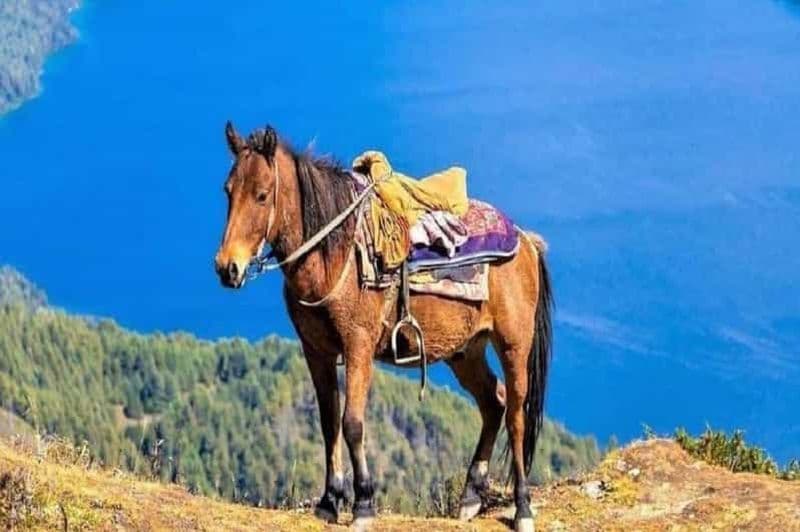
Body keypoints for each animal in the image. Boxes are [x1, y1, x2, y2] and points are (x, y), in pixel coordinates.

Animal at [214, 122, 552, 532]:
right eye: (228, 190)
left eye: (262, 195)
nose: (227, 268)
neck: (334, 255)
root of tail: (526, 240)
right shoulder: (316, 351)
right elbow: (328, 422)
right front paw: (329, 502)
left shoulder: (358, 347)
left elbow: (352, 423)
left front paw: (363, 505)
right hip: (465, 351)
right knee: (494, 402)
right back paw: (471, 497)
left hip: (513, 344)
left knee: (517, 414)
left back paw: (522, 508)